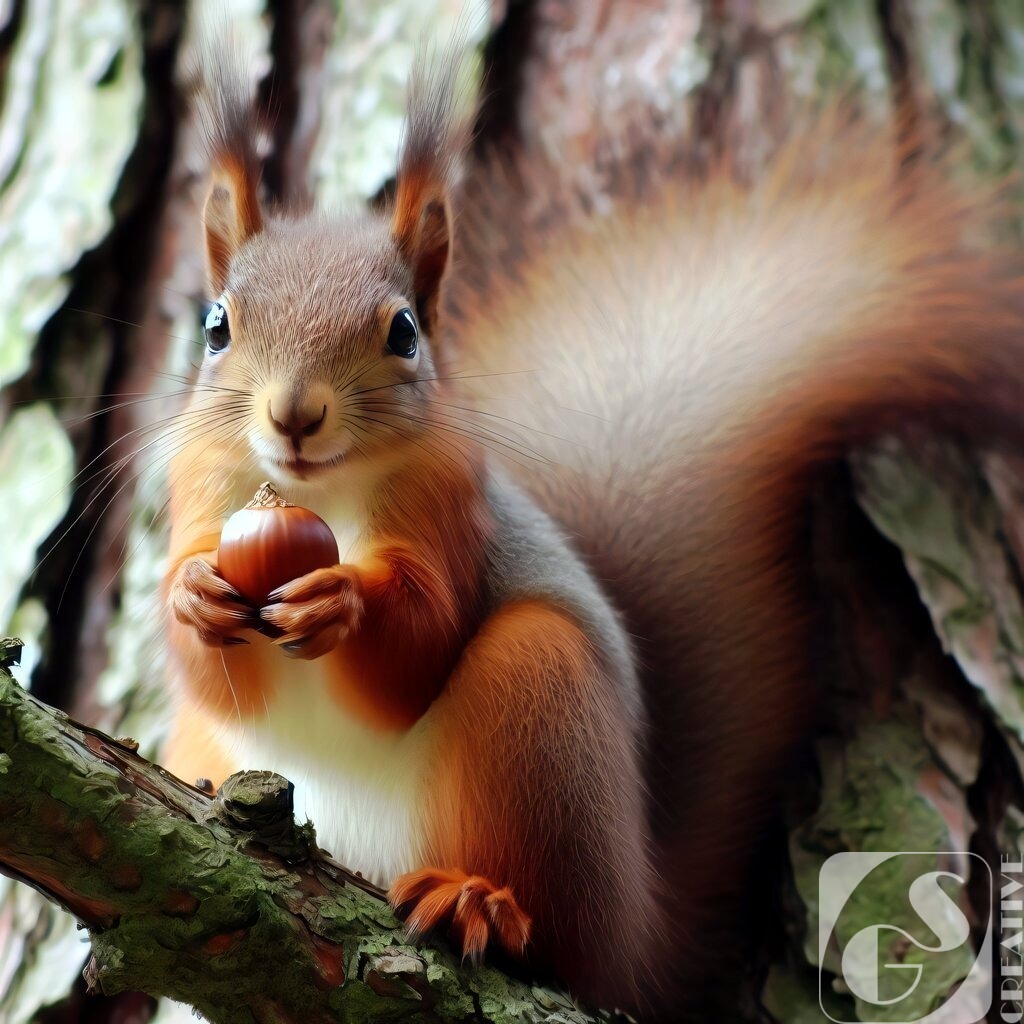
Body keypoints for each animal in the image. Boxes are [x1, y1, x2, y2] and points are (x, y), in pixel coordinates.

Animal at [161, 48, 1024, 1020]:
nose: (295, 415)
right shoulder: (200, 491)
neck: (321, 494)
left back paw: (479, 901)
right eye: (215, 326)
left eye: (405, 331)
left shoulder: (449, 509)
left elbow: (413, 654)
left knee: (559, 934)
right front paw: (193, 595)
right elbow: (216, 672)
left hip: (540, 709)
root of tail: (643, 923)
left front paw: (341, 599)